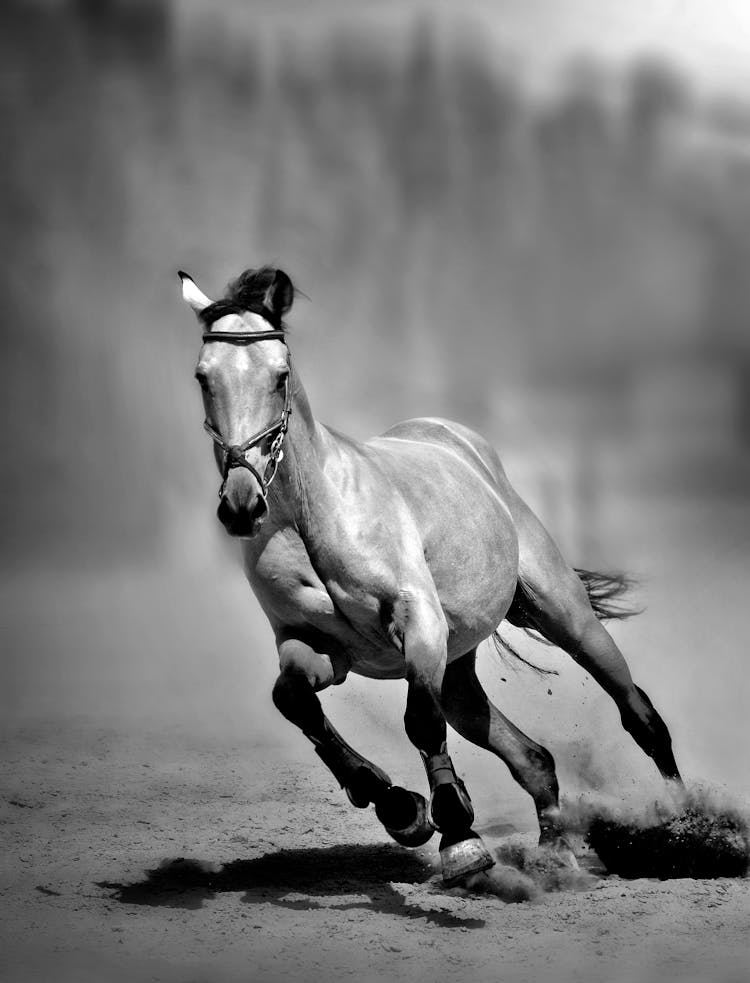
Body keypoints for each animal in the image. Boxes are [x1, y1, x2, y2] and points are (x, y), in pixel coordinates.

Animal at [179, 264, 684, 884]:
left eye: (280, 377)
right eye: (204, 377)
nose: (241, 506)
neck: (310, 517)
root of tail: (461, 441)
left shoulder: (419, 623)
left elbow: (419, 721)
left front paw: (458, 837)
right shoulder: (315, 645)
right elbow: (293, 699)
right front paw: (401, 808)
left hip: (566, 619)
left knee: (639, 714)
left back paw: (688, 826)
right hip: (459, 671)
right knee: (531, 756)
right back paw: (554, 853)